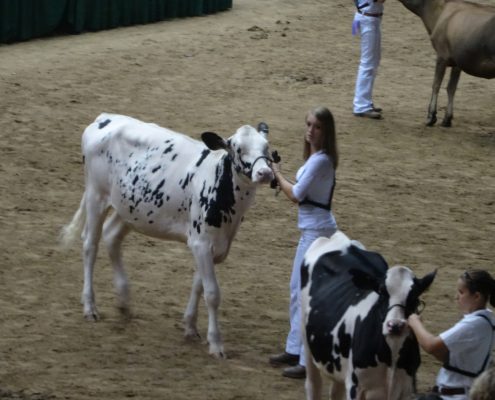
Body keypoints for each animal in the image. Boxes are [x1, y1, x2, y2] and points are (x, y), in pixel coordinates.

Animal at [61, 112, 276, 356]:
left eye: (266, 146)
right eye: (238, 149)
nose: (264, 173)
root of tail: (104, 118)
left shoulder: (210, 246)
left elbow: (198, 286)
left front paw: (190, 327)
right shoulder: (201, 243)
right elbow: (212, 293)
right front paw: (216, 344)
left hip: (131, 209)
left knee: (111, 235)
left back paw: (124, 303)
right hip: (96, 195)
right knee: (90, 244)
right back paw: (90, 307)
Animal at [300, 231, 436, 400]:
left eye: (415, 297)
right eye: (382, 292)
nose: (395, 325)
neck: (391, 355)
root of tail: (340, 240)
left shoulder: (407, 388)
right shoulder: (356, 387)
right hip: (307, 342)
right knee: (313, 385)